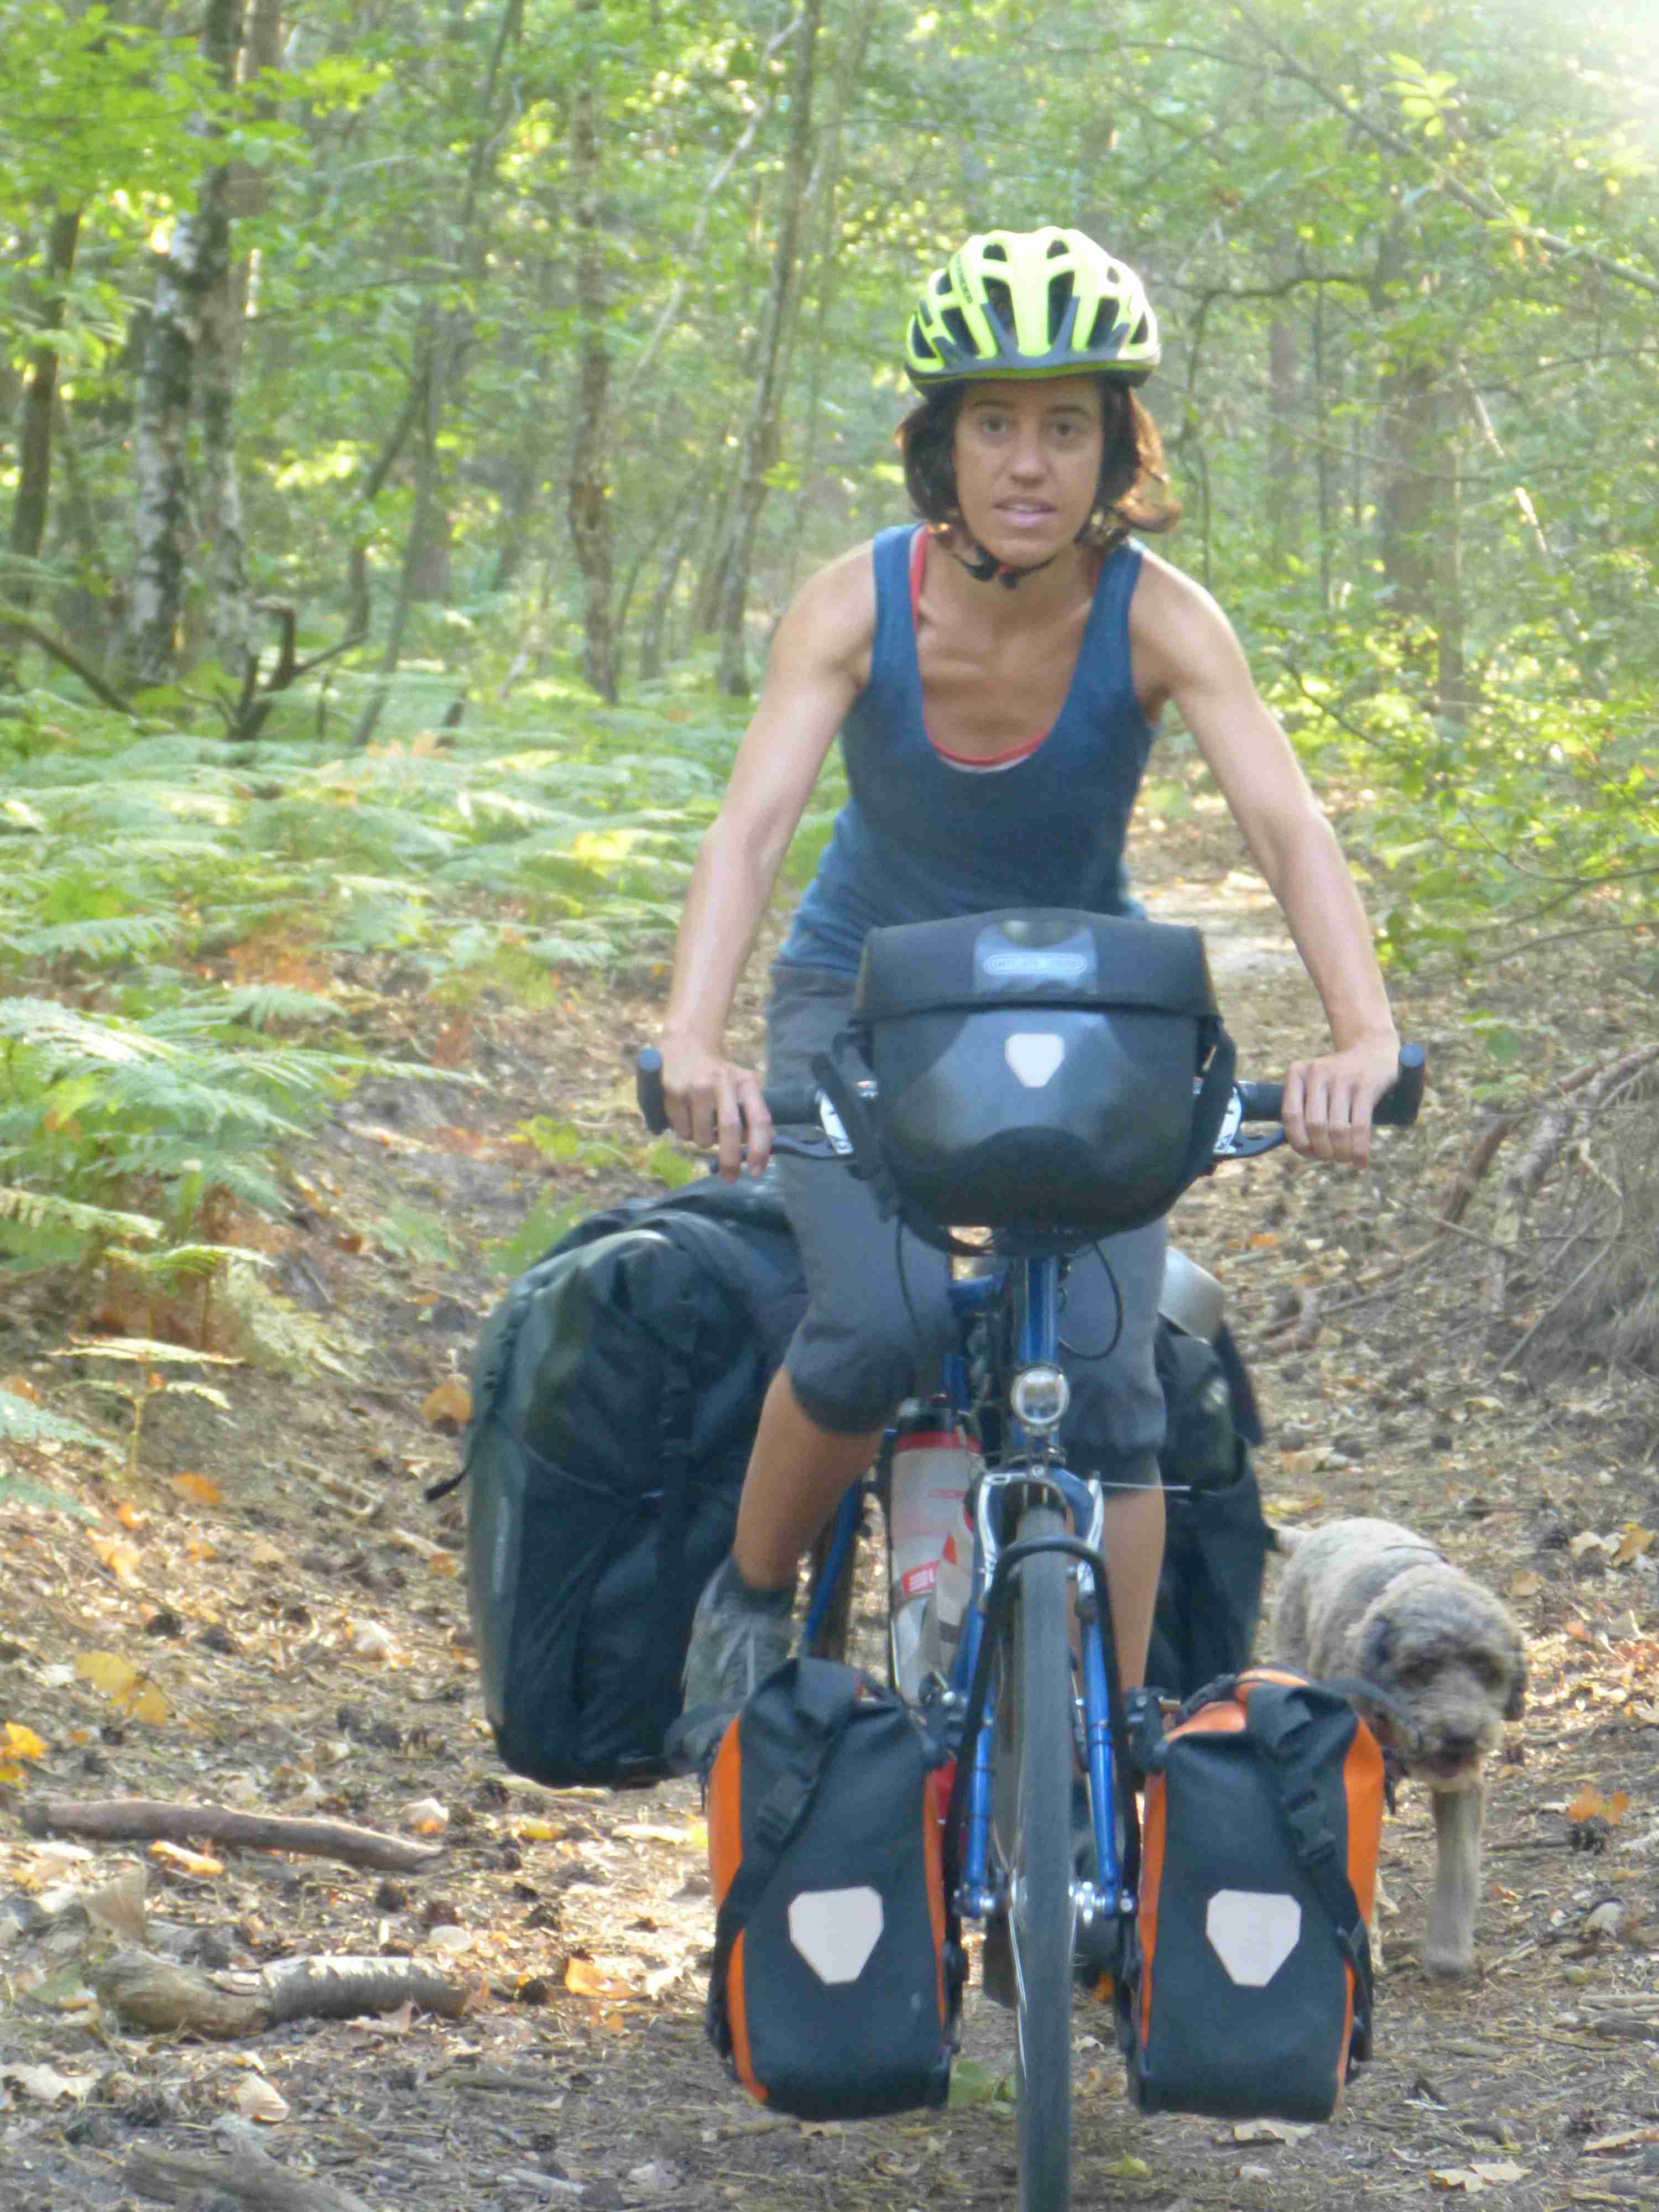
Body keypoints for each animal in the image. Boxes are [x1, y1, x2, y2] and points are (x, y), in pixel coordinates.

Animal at [1274, 1522, 1531, 1973]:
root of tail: (1316, 1533)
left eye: (1487, 1667)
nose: (1461, 1735)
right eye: (1422, 1666)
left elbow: (1459, 1863)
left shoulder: (1463, 1789)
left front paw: (1449, 1952)